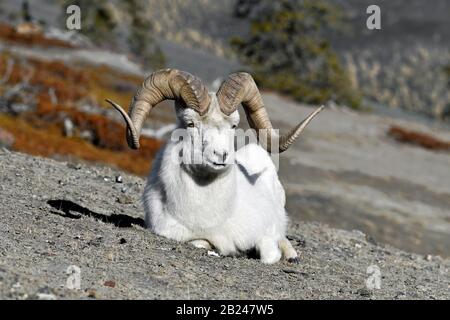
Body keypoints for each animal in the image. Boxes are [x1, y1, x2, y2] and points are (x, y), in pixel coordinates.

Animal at [107, 69, 322, 264]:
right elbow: (201, 242)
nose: (221, 155)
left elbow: (269, 256)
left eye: (234, 125)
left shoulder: (267, 234)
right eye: (190, 123)